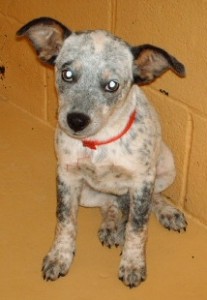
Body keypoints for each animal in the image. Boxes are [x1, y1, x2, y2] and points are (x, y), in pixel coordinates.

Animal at [17, 17, 187, 288]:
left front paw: (133, 263)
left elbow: (137, 227)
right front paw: (59, 256)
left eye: (112, 85)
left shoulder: (142, 182)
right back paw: (110, 226)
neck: (99, 143)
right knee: (110, 204)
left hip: (166, 167)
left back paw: (167, 212)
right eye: (67, 74)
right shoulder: (66, 177)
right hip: (87, 194)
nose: (76, 121)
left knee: (153, 198)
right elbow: (64, 221)